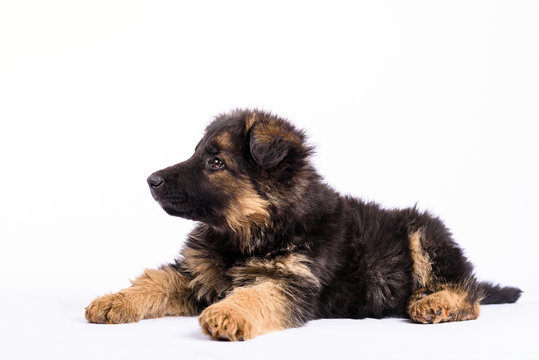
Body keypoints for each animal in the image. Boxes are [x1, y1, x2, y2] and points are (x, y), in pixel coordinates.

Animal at [85, 109, 524, 340]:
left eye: (215, 162)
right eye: (197, 154)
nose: (151, 180)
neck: (245, 233)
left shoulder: (290, 281)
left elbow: (253, 294)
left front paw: (226, 316)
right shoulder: (195, 275)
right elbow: (154, 280)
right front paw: (114, 301)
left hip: (424, 233)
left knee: (470, 294)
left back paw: (432, 303)